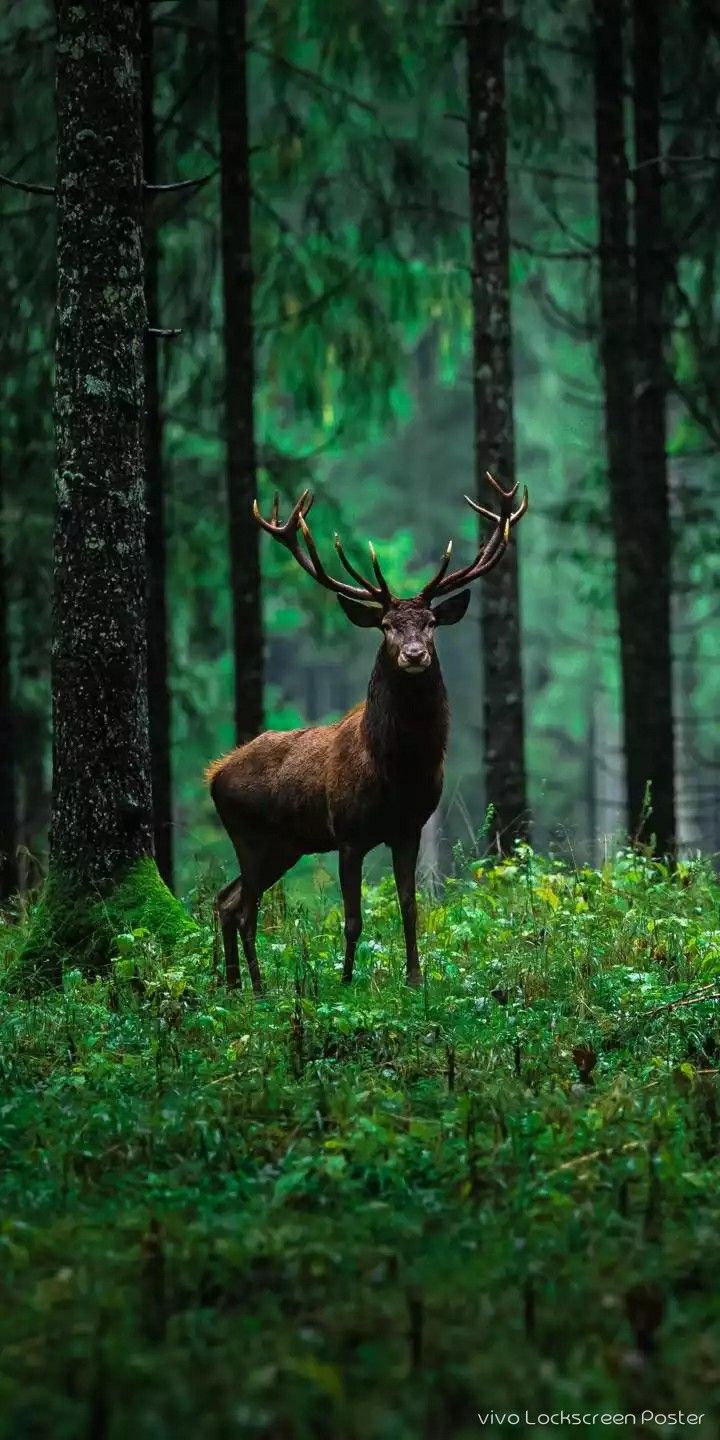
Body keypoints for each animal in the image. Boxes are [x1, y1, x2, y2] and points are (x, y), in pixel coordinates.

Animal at [205, 472, 527, 990]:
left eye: (431, 622)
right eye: (387, 625)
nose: (414, 654)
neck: (397, 770)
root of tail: (214, 774)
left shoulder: (409, 828)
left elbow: (410, 907)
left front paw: (415, 980)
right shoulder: (349, 833)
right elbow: (352, 918)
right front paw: (345, 981)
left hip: (285, 845)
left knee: (227, 901)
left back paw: (235, 986)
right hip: (248, 835)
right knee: (245, 909)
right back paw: (256, 989)